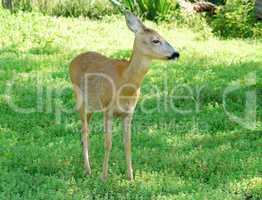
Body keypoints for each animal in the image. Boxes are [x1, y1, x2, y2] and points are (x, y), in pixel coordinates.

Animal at [69, 11, 180, 181]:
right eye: (155, 40)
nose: (176, 54)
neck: (125, 84)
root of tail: (72, 62)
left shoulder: (129, 113)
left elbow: (128, 144)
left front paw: (130, 176)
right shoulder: (108, 110)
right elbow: (108, 143)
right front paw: (104, 176)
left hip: (92, 106)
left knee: (84, 132)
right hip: (79, 97)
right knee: (85, 132)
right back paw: (88, 170)